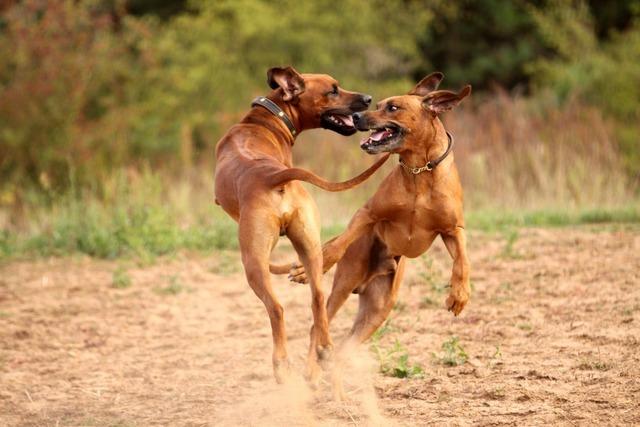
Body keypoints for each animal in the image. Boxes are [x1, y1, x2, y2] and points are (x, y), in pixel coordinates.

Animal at [214, 66, 390, 384]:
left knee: (276, 309)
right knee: (318, 300)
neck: (268, 118)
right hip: (310, 247)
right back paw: (324, 353)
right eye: (333, 90)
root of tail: (272, 176)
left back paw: (281, 365)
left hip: (253, 261)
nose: (369, 98)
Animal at [282, 72, 472, 396]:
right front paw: (319, 262)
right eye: (380, 104)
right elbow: (341, 241)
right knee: (317, 327)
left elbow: (462, 259)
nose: (358, 116)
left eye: (393, 108)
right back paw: (314, 372)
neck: (419, 171)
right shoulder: (368, 213)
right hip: (345, 285)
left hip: (379, 309)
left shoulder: (452, 229)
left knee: (343, 348)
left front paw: (459, 295)